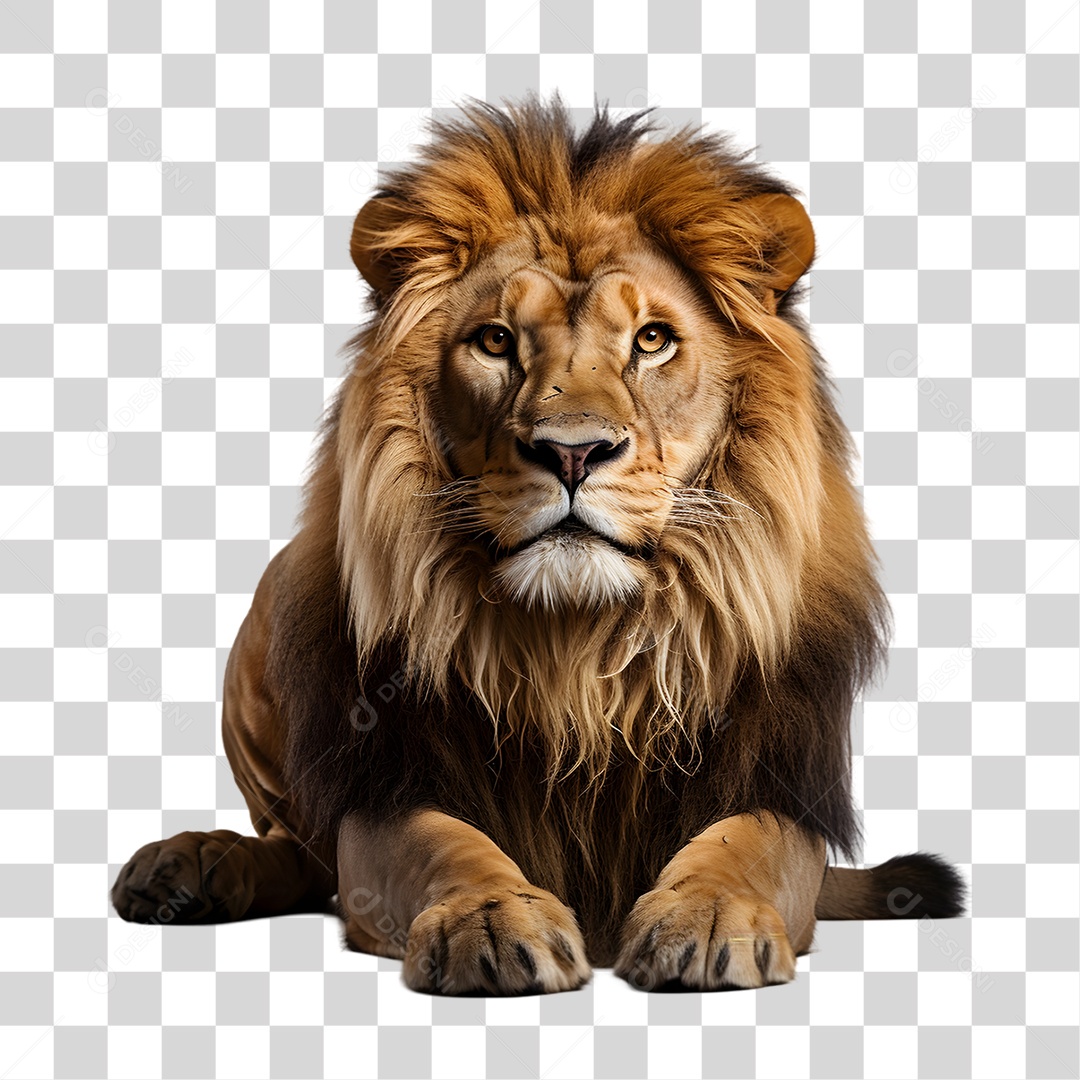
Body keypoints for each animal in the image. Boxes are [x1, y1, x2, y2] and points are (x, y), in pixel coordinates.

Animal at [113, 99, 964, 994]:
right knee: (298, 849)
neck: (579, 658)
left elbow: (747, 845)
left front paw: (708, 915)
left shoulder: (778, 783)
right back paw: (189, 864)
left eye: (653, 341)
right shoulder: (388, 786)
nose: (572, 452)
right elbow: (443, 845)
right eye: (494, 342)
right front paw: (489, 921)